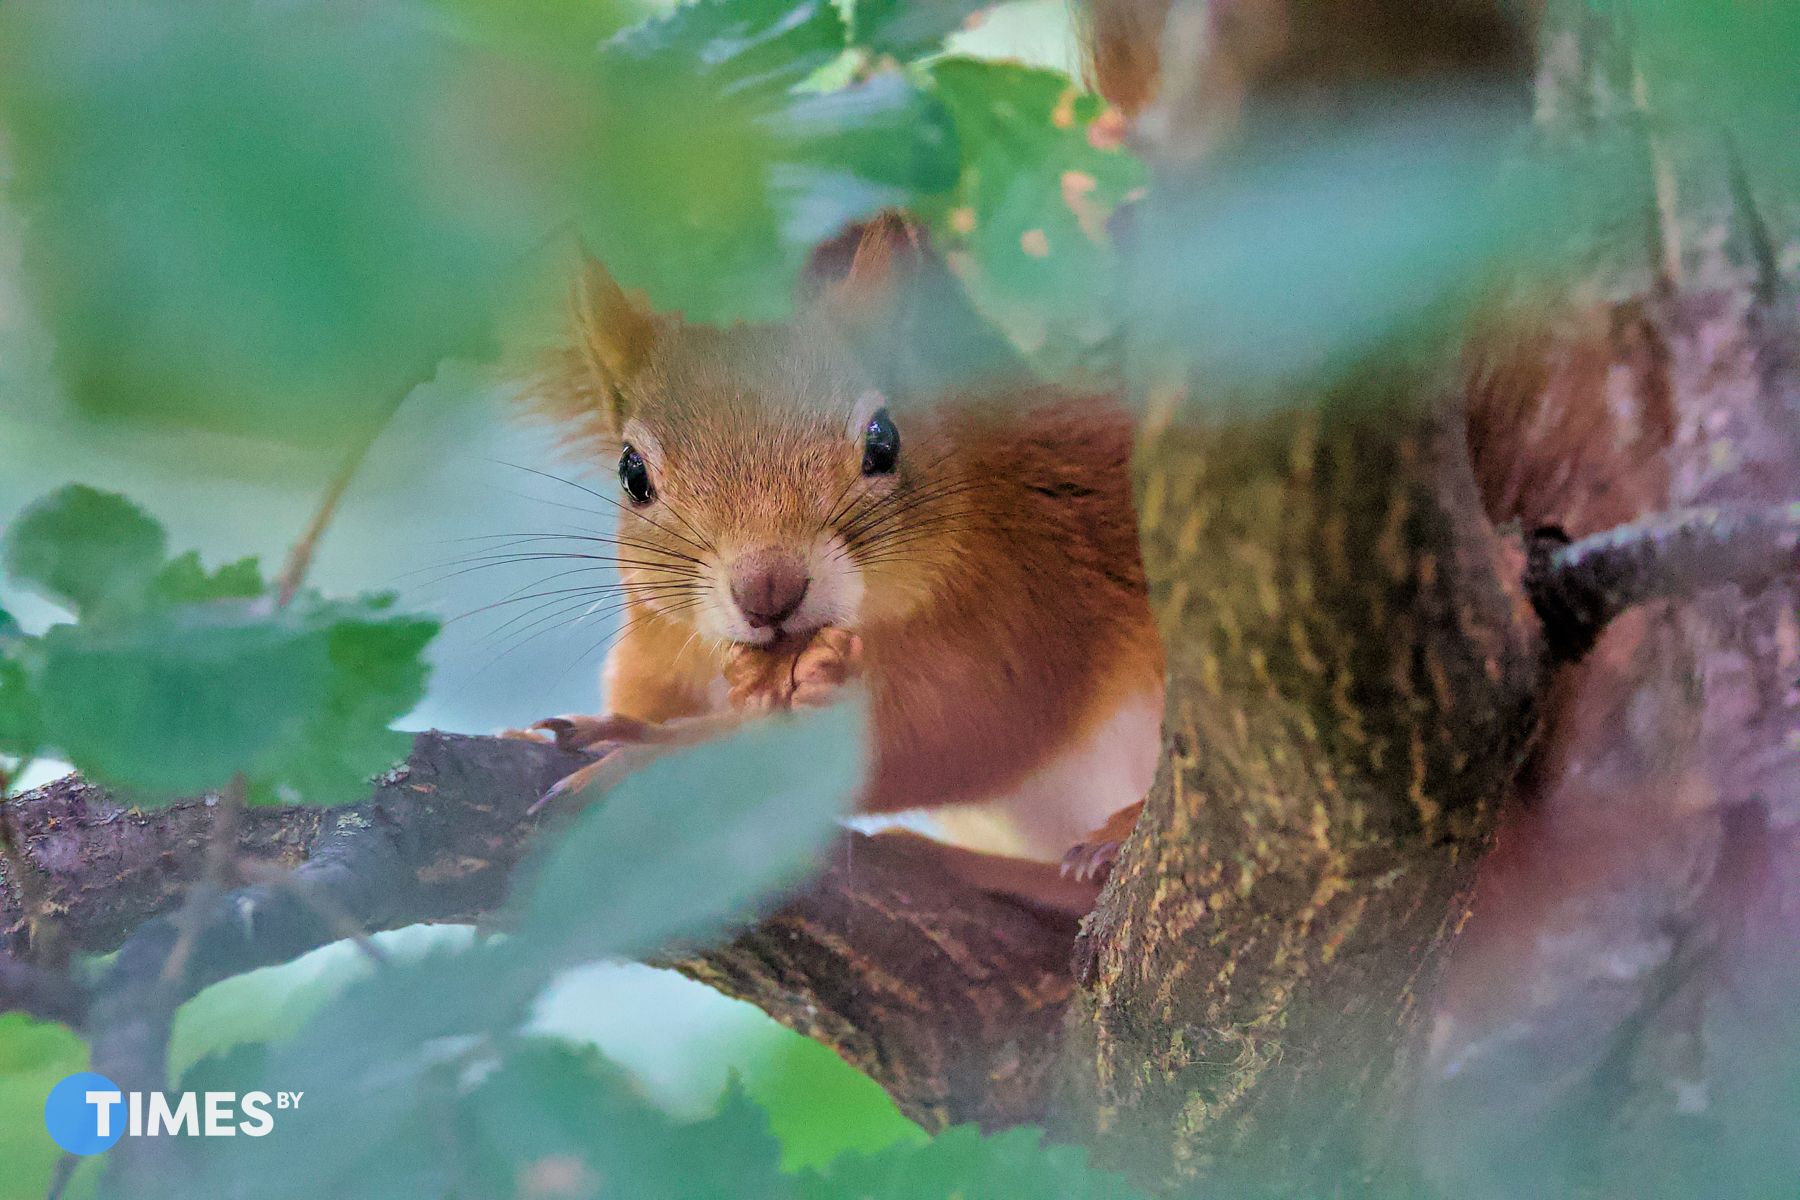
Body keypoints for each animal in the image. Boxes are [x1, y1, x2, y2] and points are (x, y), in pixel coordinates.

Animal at [516, 215, 1162, 910]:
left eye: (884, 440)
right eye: (632, 472)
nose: (768, 590)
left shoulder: (1029, 600)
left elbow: (951, 730)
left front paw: (651, 754)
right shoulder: (662, 646)